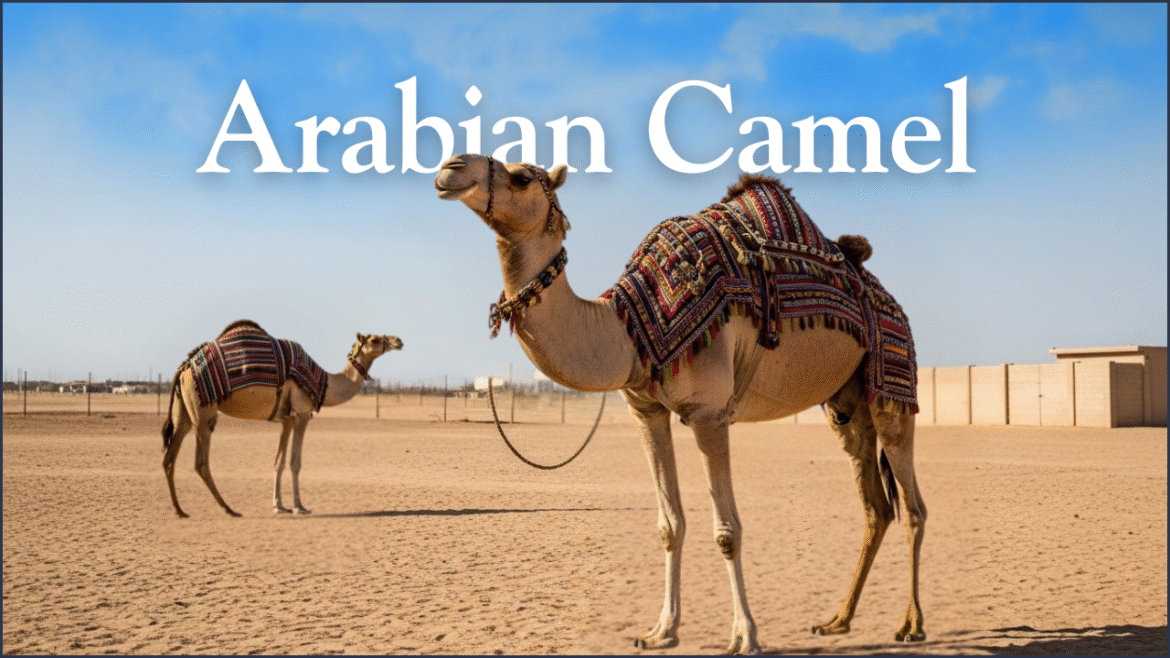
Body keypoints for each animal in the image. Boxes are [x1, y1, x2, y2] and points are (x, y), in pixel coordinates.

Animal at [161, 320, 403, 518]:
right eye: (375, 339)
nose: (398, 340)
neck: (324, 382)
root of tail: (184, 368)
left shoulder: (287, 419)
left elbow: (279, 461)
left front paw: (279, 506)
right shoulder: (302, 414)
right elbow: (295, 462)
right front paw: (299, 506)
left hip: (183, 410)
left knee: (169, 456)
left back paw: (180, 510)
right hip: (203, 413)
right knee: (201, 462)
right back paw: (229, 509)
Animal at [434, 154, 926, 654]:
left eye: (519, 177)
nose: (451, 168)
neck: (630, 328)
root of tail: (891, 302)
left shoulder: (709, 413)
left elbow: (727, 531)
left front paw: (744, 635)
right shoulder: (646, 411)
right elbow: (669, 525)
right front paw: (661, 631)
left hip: (891, 381)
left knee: (913, 506)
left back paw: (910, 625)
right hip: (845, 405)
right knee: (875, 506)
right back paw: (838, 620)